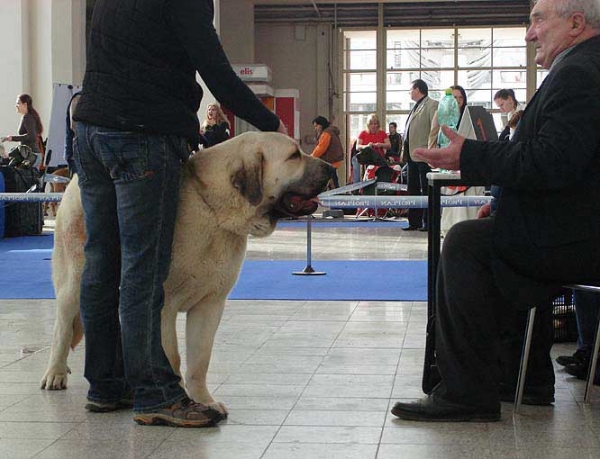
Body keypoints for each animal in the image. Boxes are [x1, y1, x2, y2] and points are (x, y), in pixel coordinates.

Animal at [41, 131, 332, 418]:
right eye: (294, 156)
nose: (330, 168)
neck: (214, 209)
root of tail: (73, 181)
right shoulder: (163, 308)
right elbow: (171, 357)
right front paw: (175, 400)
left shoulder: (209, 305)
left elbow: (199, 360)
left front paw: (203, 401)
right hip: (72, 282)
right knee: (61, 328)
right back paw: (55, 372)